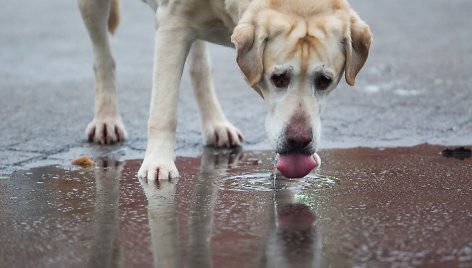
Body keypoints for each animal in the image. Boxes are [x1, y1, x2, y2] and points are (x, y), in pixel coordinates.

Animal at [77, 0, 372, 180]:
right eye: (278, 78)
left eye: (324, 80)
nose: (299, 141)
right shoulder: (172, 26)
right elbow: (164, 109)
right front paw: (158, 163)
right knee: (103, 57)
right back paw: (106, 120)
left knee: (199, 67)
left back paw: (216, 125)